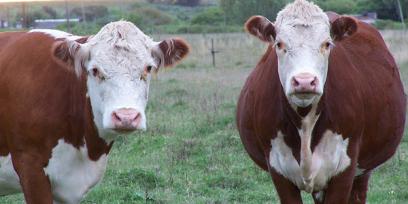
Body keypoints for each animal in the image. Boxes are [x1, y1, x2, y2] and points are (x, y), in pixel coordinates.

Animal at [237, 0, 406, 203]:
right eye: (279, 44)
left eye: (327, 44)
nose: (304, 81)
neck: (305, 122)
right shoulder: (278, 170)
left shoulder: (345, 168)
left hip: (363, 170)